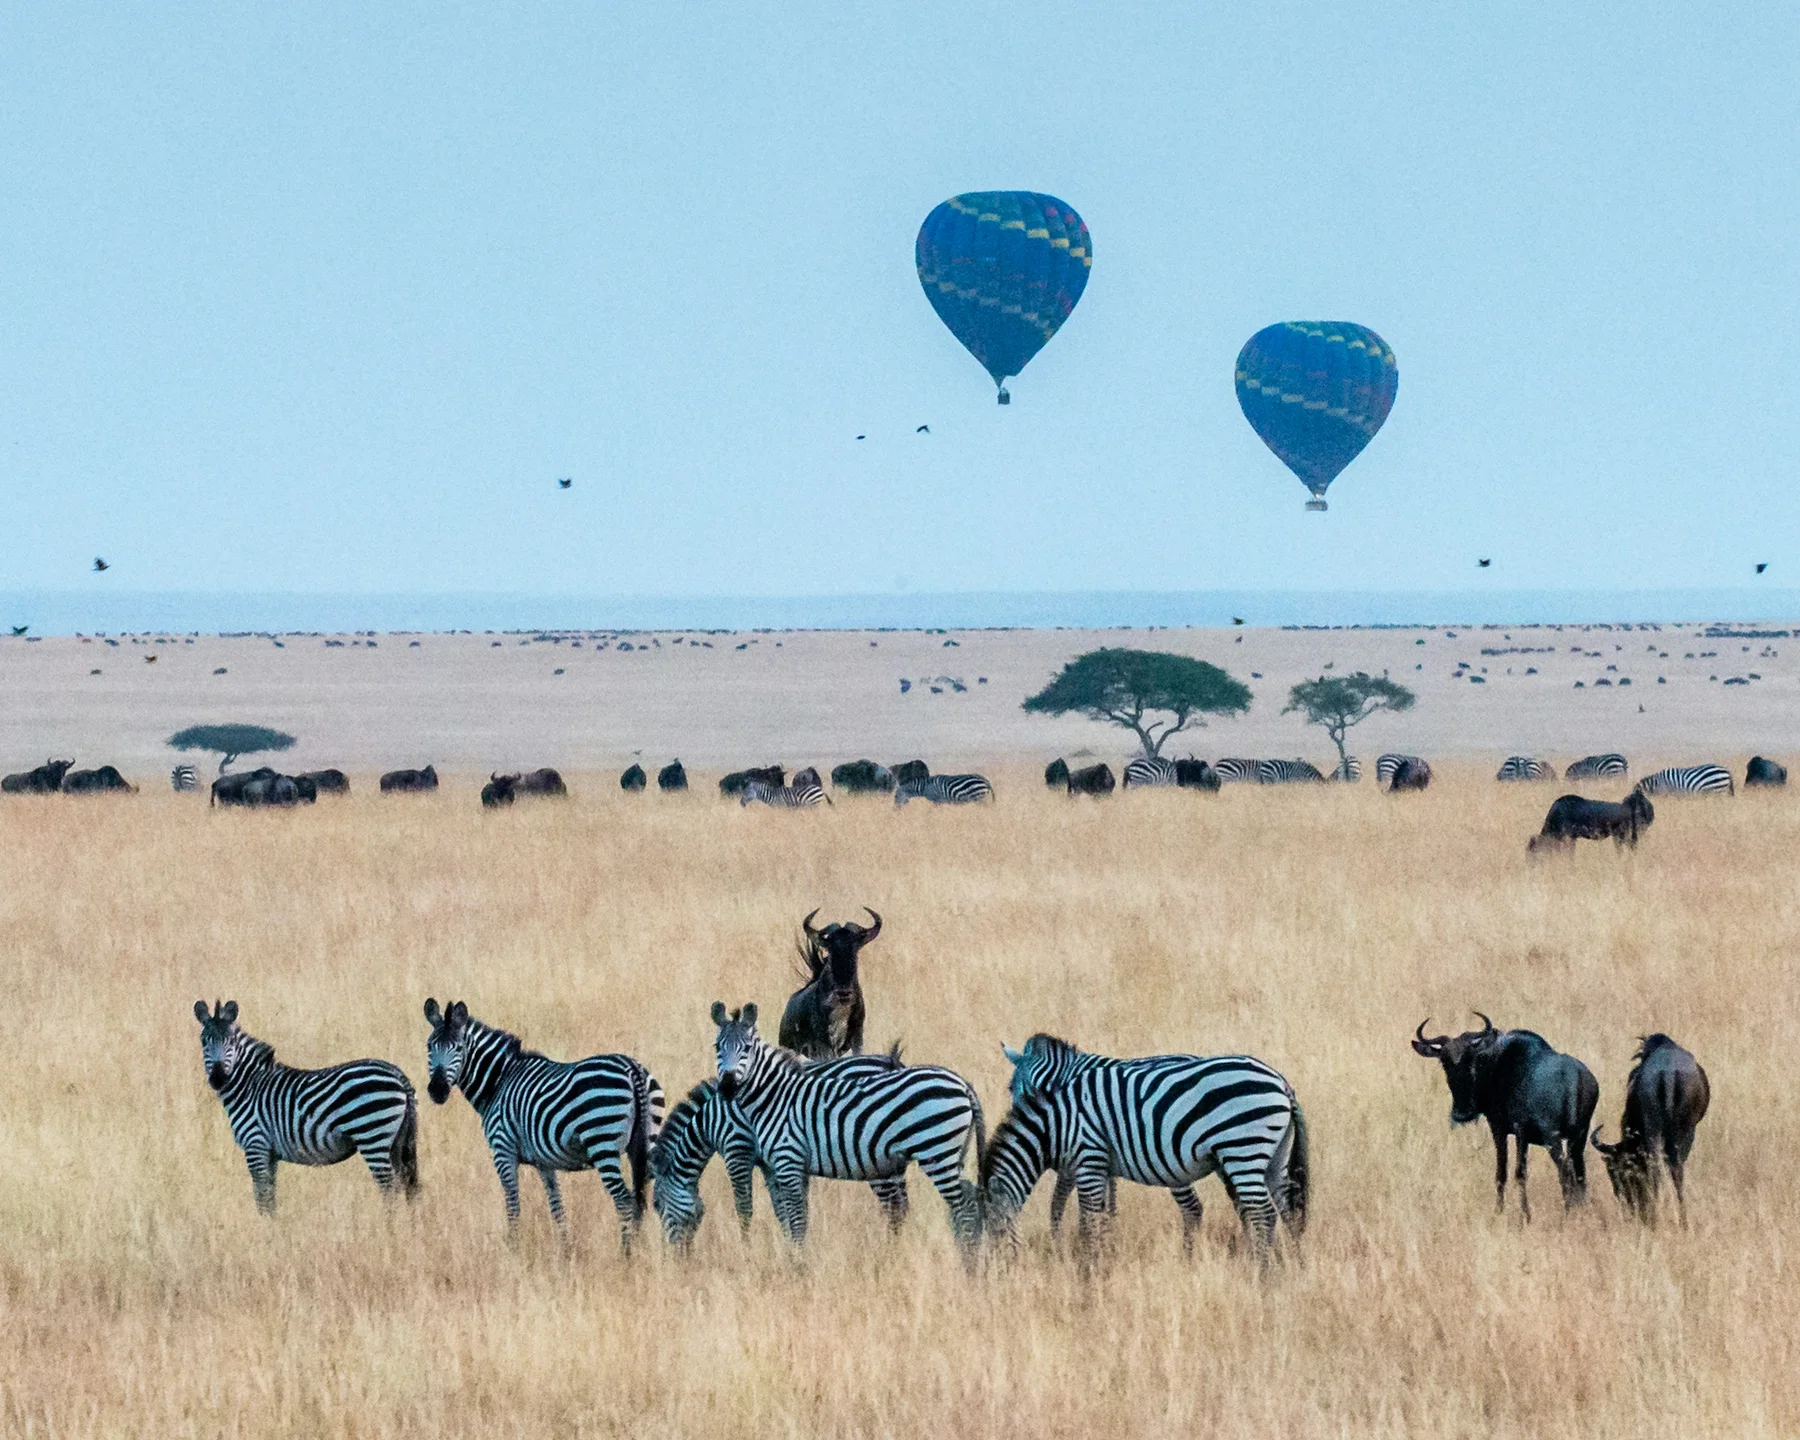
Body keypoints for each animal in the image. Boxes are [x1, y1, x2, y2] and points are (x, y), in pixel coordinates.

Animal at [193, 1000, 418, 1215]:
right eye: (204, 1042)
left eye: (230, 1041)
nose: (218, 1078)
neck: (249, 1085)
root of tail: (396, 1072)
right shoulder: (269, 1153)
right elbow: (270, 1197)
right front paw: (273, 1226)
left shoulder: (255, 1145)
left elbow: (262, 1196)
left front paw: (262, 1226)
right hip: (397, 1141)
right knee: (406, 1183)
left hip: (372, 1135)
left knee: (389, 1188)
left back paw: (388, 1225)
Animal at [423, 999, 664, 1249]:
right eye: (429, 1047)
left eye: (459, 1048)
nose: (437, 1090)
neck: (499, 1081)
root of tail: (632, 1069)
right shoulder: (544, 1162)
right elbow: (557, 1207)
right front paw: (566, 1249)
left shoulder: (503, 1151)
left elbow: (513, 1205)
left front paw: (514, 1248)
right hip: (647, 1143)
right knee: (645, 1199)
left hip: (602, 1143)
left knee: (625, 1201)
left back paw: (626, 1253)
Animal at [649, 1052, 912, 1250]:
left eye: (657, 1205)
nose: (674, 1257)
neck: (710, 1120)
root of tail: (891, 1061)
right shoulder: (770, 1161)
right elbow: (782, 1209)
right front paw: (791, 1246)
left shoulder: (738, 1150)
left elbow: (744, 1207)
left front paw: (746, 1248)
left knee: (894, 1208)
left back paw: (890, 1254)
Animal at [709, 1002, 985, 1251]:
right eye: (717, 1047)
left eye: (746, 1048)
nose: (728, 1087)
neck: (775, 1096)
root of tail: (963, 1084)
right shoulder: (783, 1165)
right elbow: (792, 1216)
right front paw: (793, 1254)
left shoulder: (778, 1158)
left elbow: (785, 1216)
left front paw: (794, 1260)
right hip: (948, 1154)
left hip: (935, 1151)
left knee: (964, 1208)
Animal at [983, 1038, 1307, 1259]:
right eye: (1011, 1089)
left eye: (1020, 1089)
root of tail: (1281, 1083)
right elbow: (1094, 1205)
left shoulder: (1086, 1153)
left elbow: (1073, 1206)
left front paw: (1079, 1249)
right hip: (1266, 1157)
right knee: (1283, 1208)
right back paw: (1289, 1262)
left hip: (1238, 1149)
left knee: (1247, 1210)